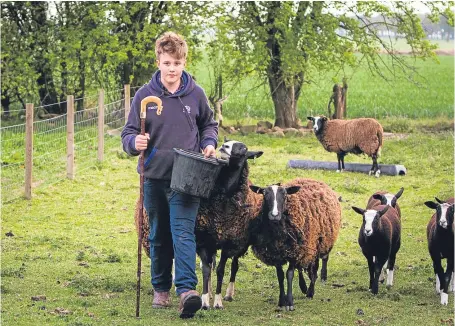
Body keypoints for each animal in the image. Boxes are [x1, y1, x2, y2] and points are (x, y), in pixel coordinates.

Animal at [249, 178, 342, 310]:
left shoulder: (294, 252)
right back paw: (304, 287)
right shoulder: (276, 254)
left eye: (285, 195)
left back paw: (311, 291)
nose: (274, 215)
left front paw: (290, 302)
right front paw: (281, 301)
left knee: (316, 267)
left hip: (317, 244)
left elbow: (289, 274)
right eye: (264, 194)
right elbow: (280, 275)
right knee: (302, 267)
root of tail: (314, 179)